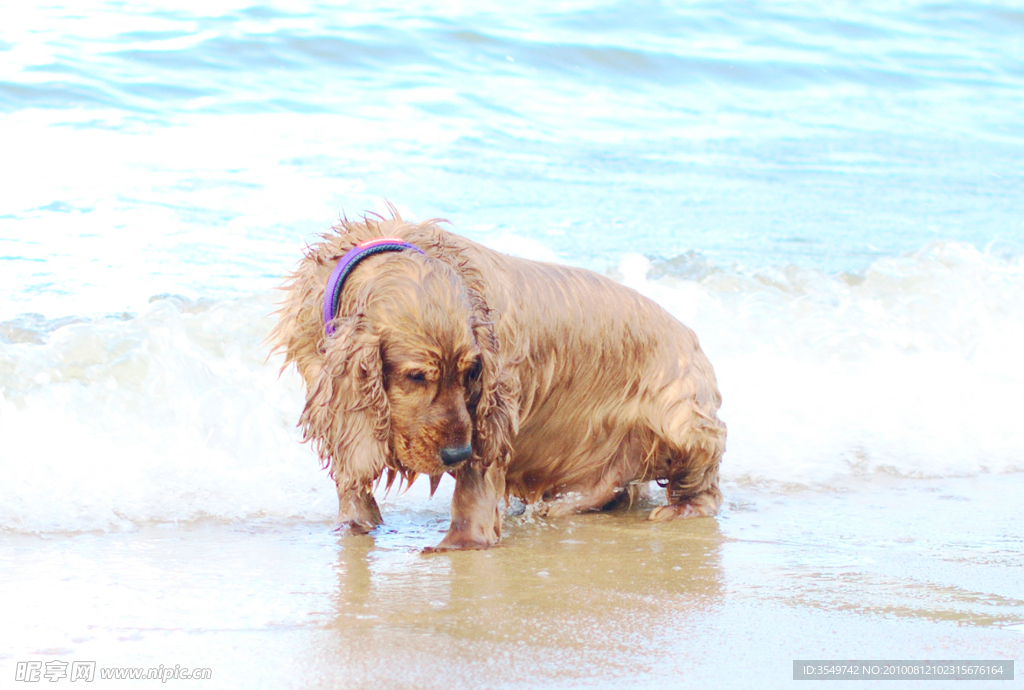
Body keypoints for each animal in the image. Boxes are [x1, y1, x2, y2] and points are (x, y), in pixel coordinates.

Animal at [268, 206, 724, 544]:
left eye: (471, 372)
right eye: (416, 376)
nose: (456, 453)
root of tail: (694, 337)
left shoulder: (491, 415)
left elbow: (476, 487)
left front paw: (462, 544)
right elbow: (353, 468)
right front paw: (355, 525)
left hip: (686, 421)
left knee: (706, 489)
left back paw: (679, 508)